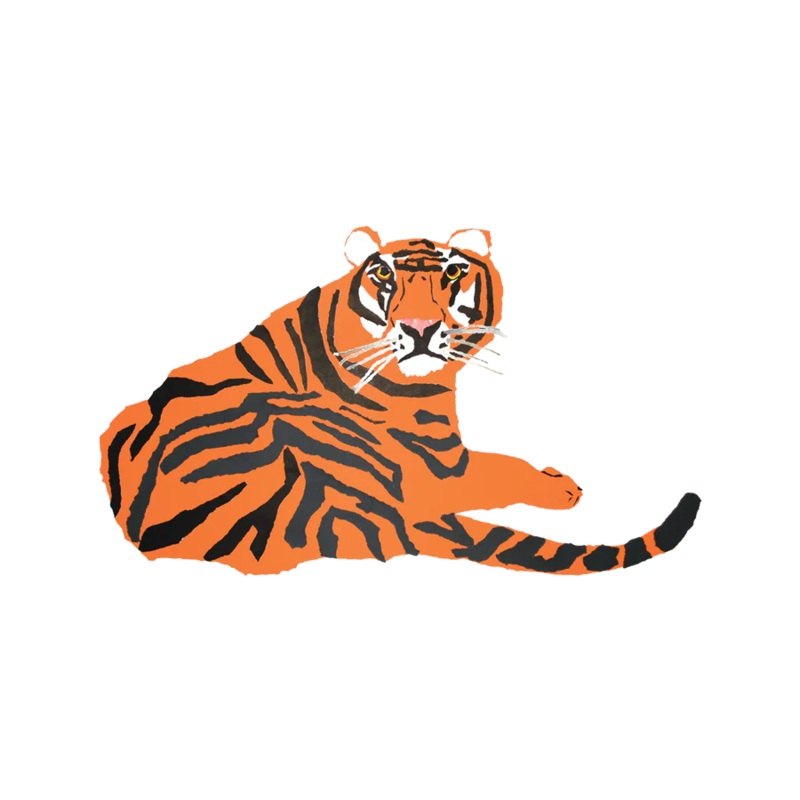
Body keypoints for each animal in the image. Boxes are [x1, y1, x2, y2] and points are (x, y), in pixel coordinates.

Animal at [99, 227, 701, 576]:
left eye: (454, 271)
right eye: (384, 276)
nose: (418, 329)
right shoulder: (439, 466)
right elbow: (501, 468)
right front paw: (562, 486)